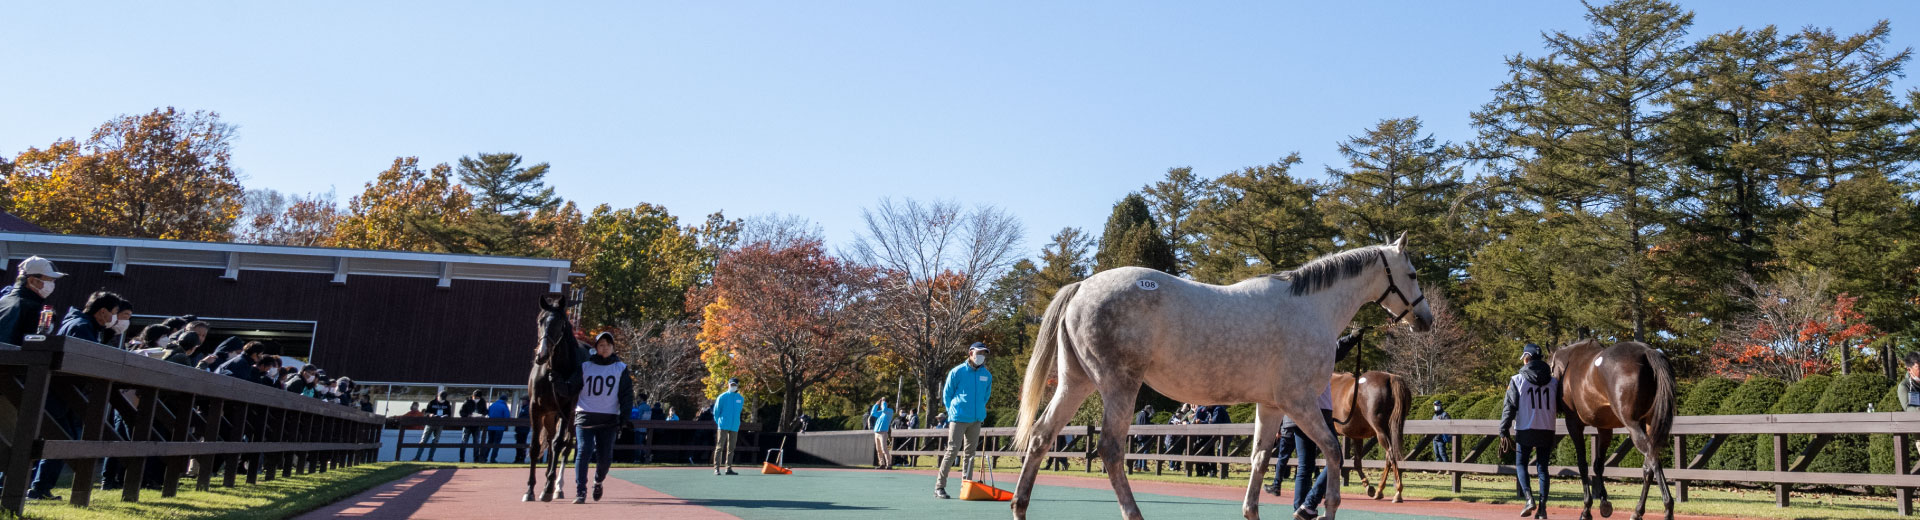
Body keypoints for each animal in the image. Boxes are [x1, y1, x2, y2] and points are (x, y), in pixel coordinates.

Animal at [526, 299, 583, 502]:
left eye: (560, 324)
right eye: (540, 321)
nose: (541, 354)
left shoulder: (566, 408)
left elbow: (559, 445)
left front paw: (548, 488)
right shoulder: (535, 408)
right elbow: (535, 447)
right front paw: (530, 489)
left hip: (573, 417)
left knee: (565, 446)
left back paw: (557, 486)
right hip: (551, 414)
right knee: (550, 441)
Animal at [1336, 370, 1413, 506]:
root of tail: (1390, 377)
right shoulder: (1357, 436)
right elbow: (1357, 462)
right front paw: (1368, 486)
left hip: (1380, 431)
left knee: (1391, 455)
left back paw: (1397, 492)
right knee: (1388, 458)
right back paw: (1379, 490)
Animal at [1551, 339, 1674, 520]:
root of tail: (1646, 351)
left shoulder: (1573, 424)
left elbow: (1582, 463)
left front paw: (1586, 509)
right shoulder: (1604, 428)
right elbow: (1598, 465)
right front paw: (1604, 502)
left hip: (1633, 424)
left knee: (1652, 459)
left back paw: (1668, 507)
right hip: (1650, 423)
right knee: (1648, 465)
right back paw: (1638, 511)